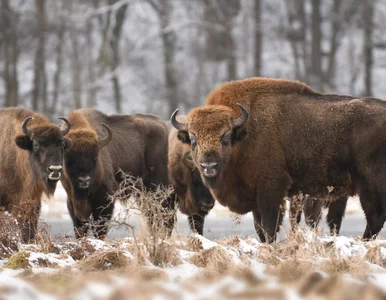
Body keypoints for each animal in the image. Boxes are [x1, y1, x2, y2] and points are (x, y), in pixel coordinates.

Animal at [60, 108, 173, 239]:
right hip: (142, 194)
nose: (84, 180)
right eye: (68, 157)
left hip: (158, 189)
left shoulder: (105, 198)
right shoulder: (72, 201)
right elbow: (79, 227)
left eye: (95, 156)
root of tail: (164, 127)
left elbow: (100, 228)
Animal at [170, 77, 386, 241]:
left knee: (374, 219)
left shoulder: (272, 191)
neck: (245, 134)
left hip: (369, 187)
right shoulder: (257, 198)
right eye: (193, 139)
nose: (209, 165)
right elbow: (259, 228)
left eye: (226, 137)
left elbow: (269, 227)